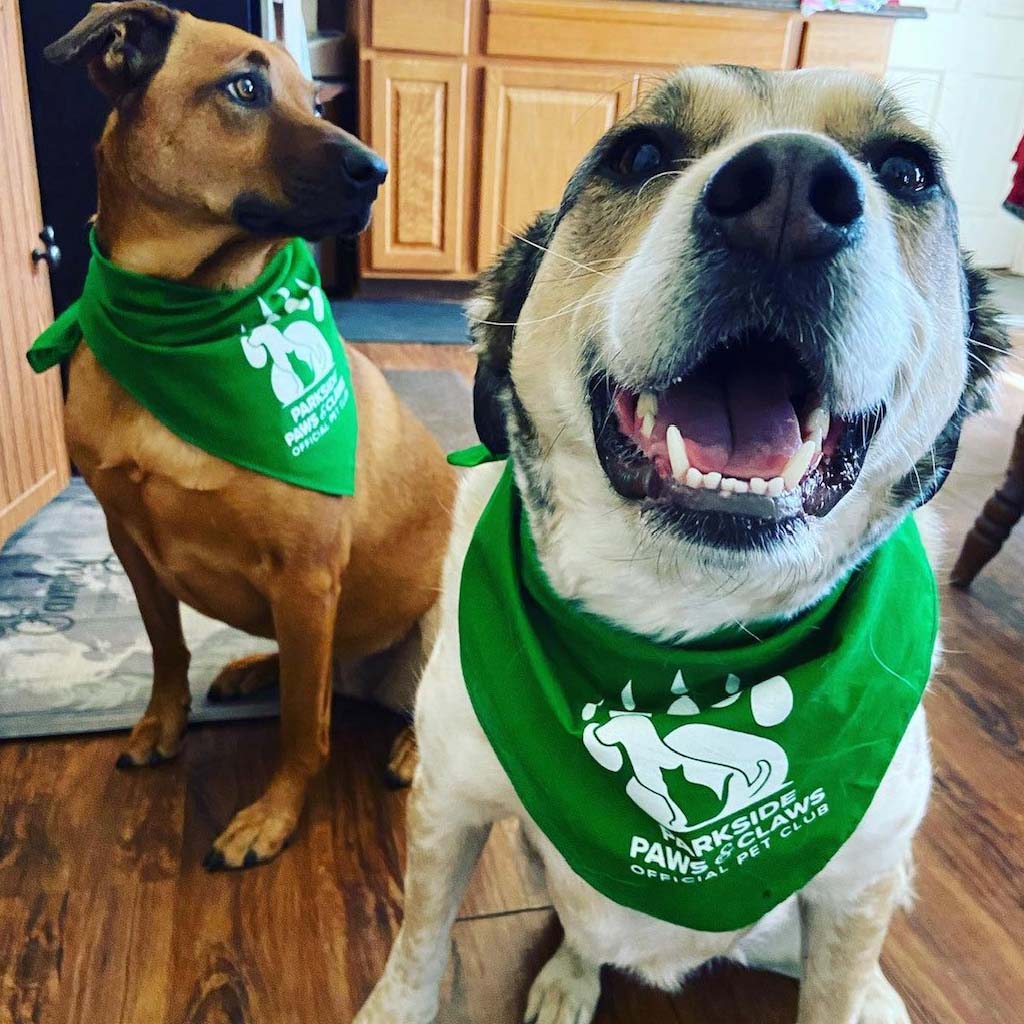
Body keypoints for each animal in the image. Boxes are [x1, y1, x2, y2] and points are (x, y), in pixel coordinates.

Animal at [44, 4, 452, 868]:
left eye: (318, 99)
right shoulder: (130, 542)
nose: (378, 170)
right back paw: (255, 668)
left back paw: (407, 747)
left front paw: (273, 816)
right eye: (244, 88)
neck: (186, 317)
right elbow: (166, 650)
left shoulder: (305, 573)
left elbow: (303, 727)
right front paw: (161, 726)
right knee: (317, 672)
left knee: (402, 704)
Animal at [356, 68, 1003, 1019]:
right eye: (639, 154)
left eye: (906, 171)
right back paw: (570, 977)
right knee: (581, 933)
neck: (680, 621)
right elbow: (418, 947)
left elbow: (838, 984)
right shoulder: (449, 805)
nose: (789, 196)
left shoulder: (859, 883)